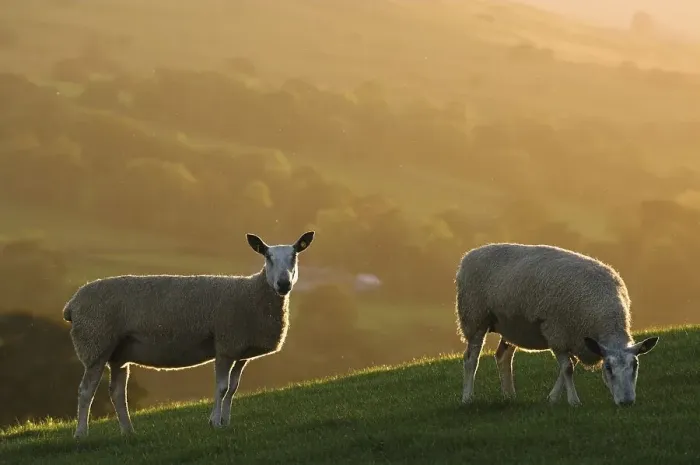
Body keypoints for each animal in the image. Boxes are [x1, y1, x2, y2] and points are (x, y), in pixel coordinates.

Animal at [63, 231, 315, 438]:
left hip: (118, 353)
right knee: (86, 391)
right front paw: (215, 423)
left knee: (116, 393)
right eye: (267, 256)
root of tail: (72, 304)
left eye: (295, 255)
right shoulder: (225, 345)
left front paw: (226, 421)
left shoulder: (240, 351)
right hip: (96, 343)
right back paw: (81, 434)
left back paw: (128, 431)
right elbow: (221, 388)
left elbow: (233, 389)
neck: (254, 292)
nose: (283, 283)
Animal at [455, 242, 659, 407]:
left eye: (635, 366)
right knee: (471, 359)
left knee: (503, 357)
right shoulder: (557, 332)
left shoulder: (576, 338)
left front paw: (552, 398)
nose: (627, 402)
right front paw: (574, 401)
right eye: (608, 368)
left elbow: (567, 366)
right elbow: (568, 368)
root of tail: (470, 255)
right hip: (475, 317)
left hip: (512, 326)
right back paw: (467, 398)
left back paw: (509, 396)